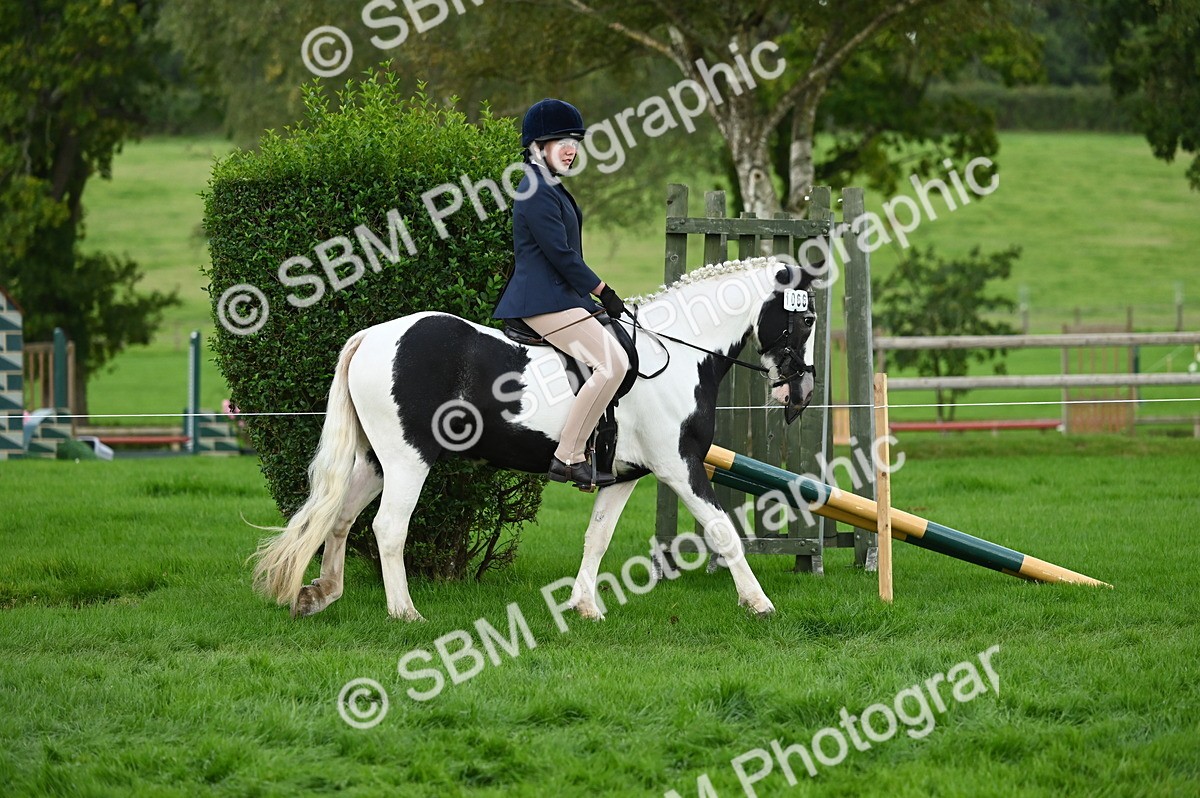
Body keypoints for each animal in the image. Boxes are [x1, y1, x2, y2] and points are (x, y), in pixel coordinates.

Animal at [251, 256, 818, 621]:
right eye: (805, 318)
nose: (801, 393)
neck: (675, 354)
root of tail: (373, 335)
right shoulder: (680, 465)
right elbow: (723, 530)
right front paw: (759, 603)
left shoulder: (624, 476)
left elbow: (597, 537)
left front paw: (584, 607)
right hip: (408, 460)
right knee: (389, 528)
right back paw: (404, 612)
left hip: (375, 460)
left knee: (342, 519)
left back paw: (322, 594)